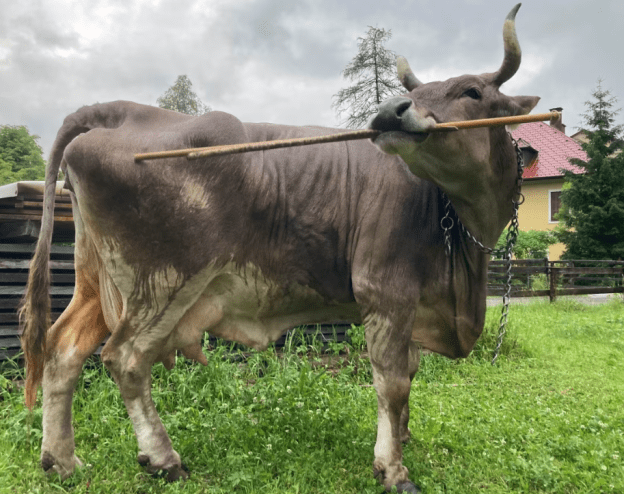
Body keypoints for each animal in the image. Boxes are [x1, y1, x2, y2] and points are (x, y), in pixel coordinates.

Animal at [20, 4, 538, 492]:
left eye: (471, 92)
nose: (391, 110)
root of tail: (119, 109)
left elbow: (409, 375)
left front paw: (404, 438)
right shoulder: (385, 291)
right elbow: (391, 383)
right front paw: (392, 467)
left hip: (98, 282)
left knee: (63, 351)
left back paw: (62, 461)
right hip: (164, 282)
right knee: (125, 359)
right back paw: (163, 458)